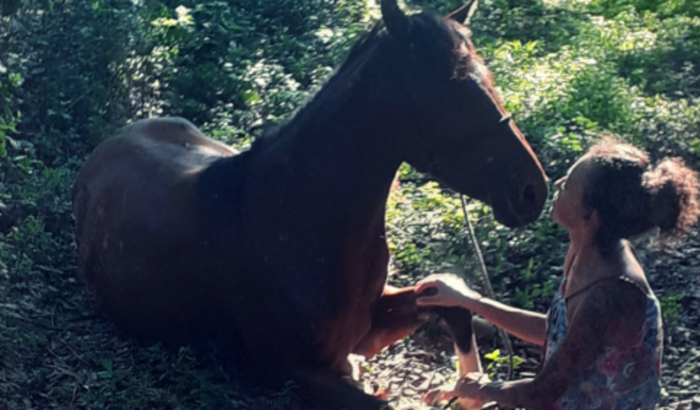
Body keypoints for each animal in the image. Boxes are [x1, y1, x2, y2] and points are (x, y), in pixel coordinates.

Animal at [71, 0, 548, 408]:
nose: (534, 191)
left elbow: (450, 305)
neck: (299, 216)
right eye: (451, 87)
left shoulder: (366, 329)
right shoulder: (292, 367)